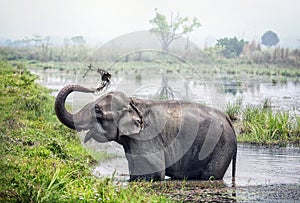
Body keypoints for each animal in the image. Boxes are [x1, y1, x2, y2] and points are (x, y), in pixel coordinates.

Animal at [54, 84, 237, 181]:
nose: (98, 86)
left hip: (221, 147)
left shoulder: (146, 138)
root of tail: (228, 119)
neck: (133, 103)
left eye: (98, 111)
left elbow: (153, 173)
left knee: (211, 176)